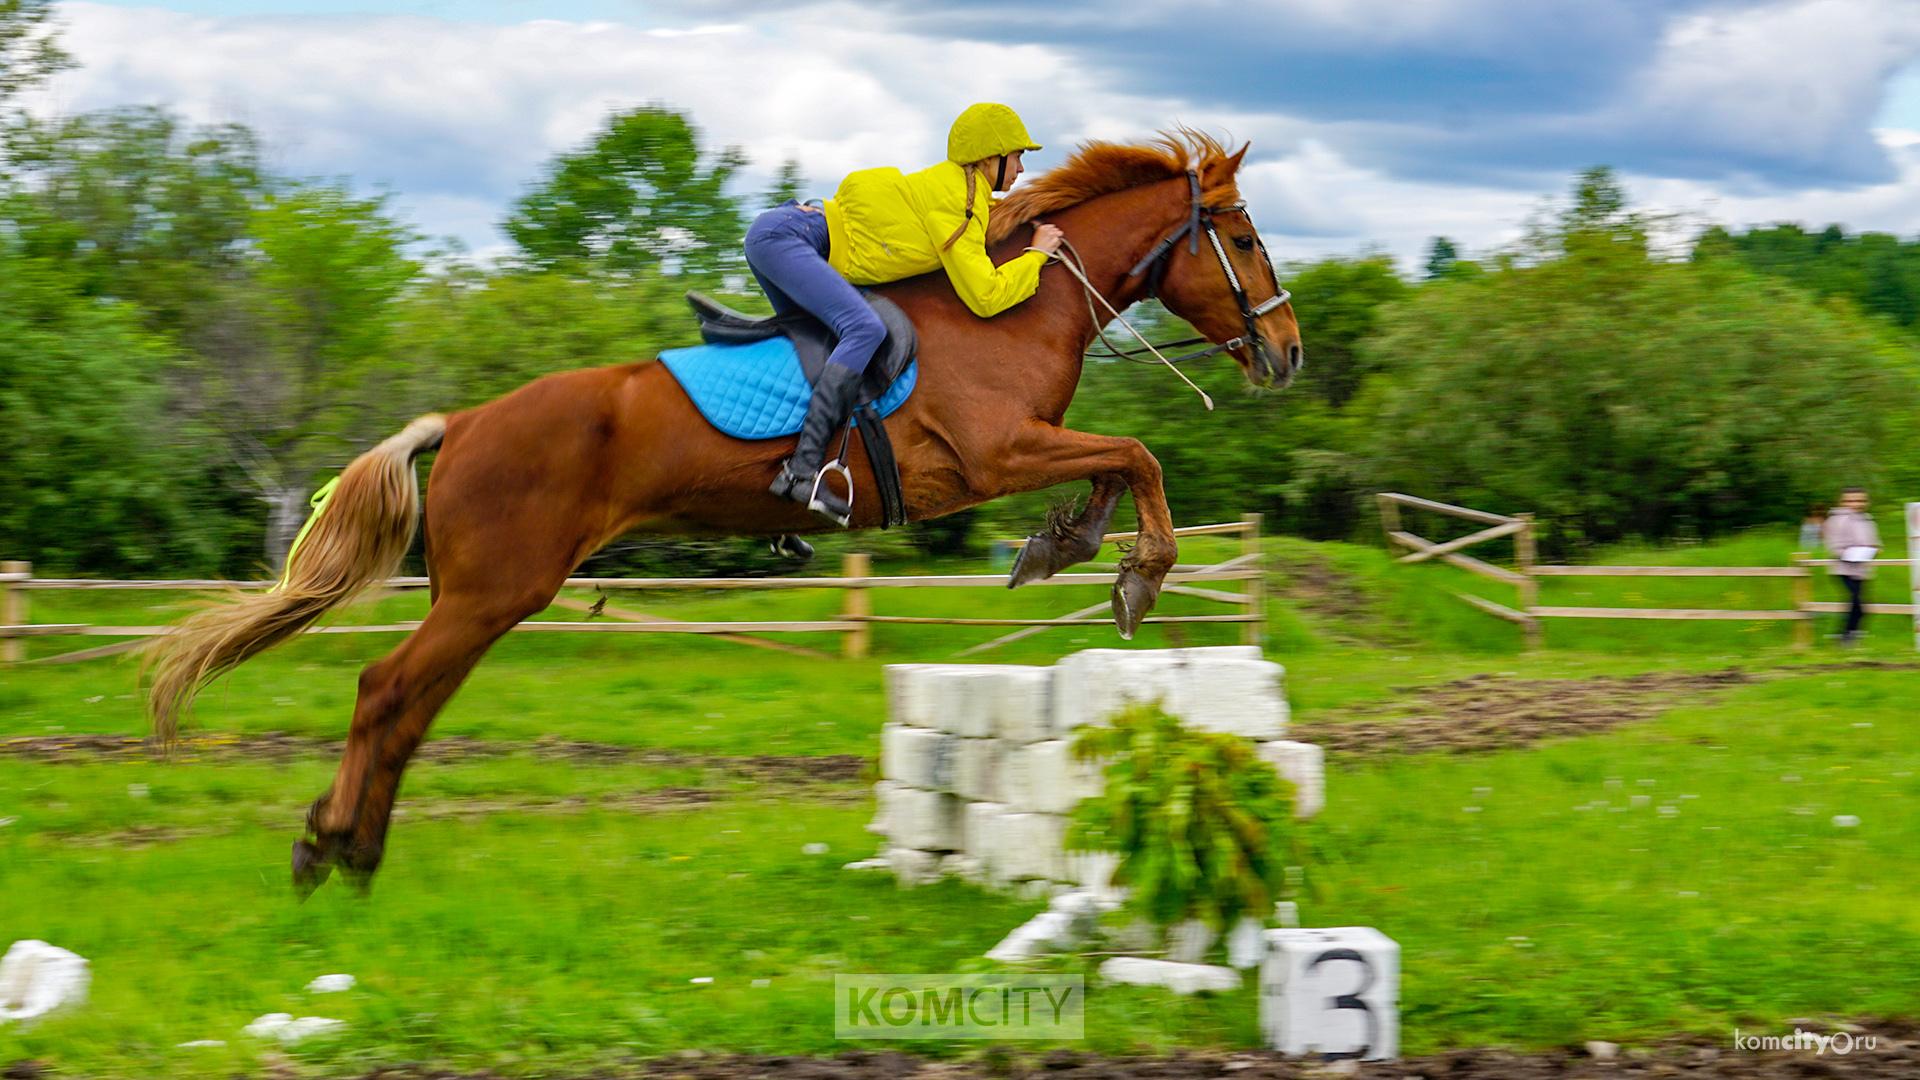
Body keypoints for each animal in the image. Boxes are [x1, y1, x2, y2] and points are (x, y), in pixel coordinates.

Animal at [145, 132, 1305, 891]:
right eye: (1244, 238)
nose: (1289, 353)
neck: (1020, 304)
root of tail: (466, 421)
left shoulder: (1020, 453)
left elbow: (1115, 469)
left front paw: (1065, 548)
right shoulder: (992, 455)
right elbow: (1139, 455)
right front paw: (1133, 576)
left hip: (489, 598)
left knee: (412, 703)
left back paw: (355, 848)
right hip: (493, 590)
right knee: (388, 690)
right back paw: (330, 845)